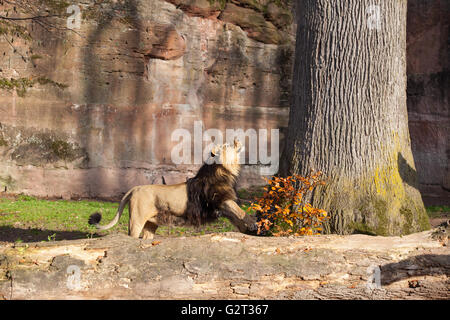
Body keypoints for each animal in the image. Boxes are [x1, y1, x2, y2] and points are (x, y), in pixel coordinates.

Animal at [88, 139, 256, 239]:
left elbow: (236, 217)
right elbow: (240, 211)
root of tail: (135, 188)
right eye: (227, 145)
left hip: (151, 223)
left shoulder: (222, 205)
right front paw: (253, 224)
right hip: (136, 220)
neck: (224, 170)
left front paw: (247, 229)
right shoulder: (222, 200)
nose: (237, 139)